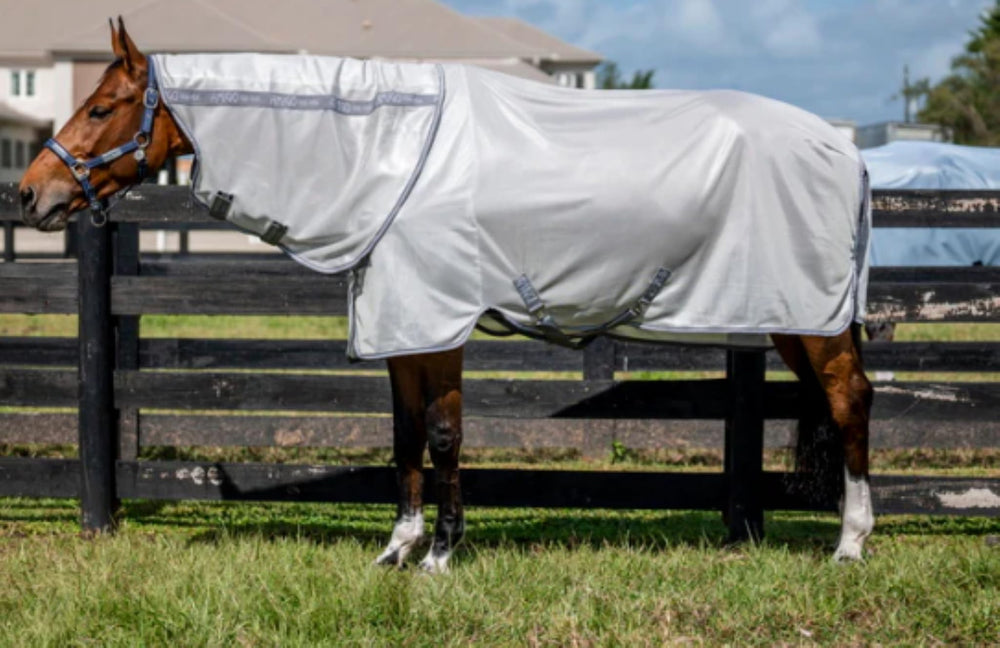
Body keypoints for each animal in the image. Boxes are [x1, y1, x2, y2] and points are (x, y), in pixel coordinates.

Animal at [19, 19, 874, 573]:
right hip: (794, 318)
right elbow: (404, 438)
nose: (31, 195)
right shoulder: (402, 329)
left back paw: (850, 544)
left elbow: (442, 436)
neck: (389, 154)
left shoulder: (439, 323)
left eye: (101, 108)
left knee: (850, 402)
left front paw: (441, 554)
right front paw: (397, 548)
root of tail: (845, 149)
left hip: (817, 321)